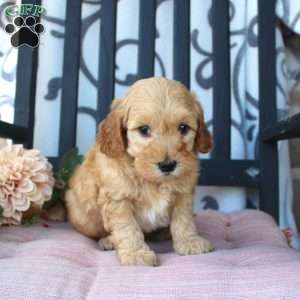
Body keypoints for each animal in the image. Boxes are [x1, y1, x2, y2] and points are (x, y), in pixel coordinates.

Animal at [65, 77, 213, 264]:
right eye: (143, 130)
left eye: (183, 127)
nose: (167, 165)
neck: (152, 180)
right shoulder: (117, 198)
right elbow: (127, 227)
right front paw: (136, 253)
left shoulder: (184, 193)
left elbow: (183, 219)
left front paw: (189, 241)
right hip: (82, 215)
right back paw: (108, 240)